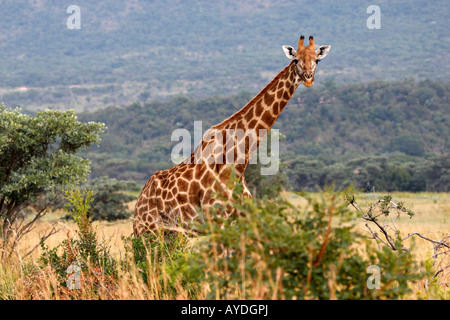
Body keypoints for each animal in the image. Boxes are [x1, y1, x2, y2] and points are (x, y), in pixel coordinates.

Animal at [134, 35, 330, 238]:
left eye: (317, 60)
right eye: (296, 60)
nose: (308, 78)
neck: (238, 162)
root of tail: (139, 201)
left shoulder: (240, 219)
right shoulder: (217, 220)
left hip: (172, 233)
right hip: (148, 230)